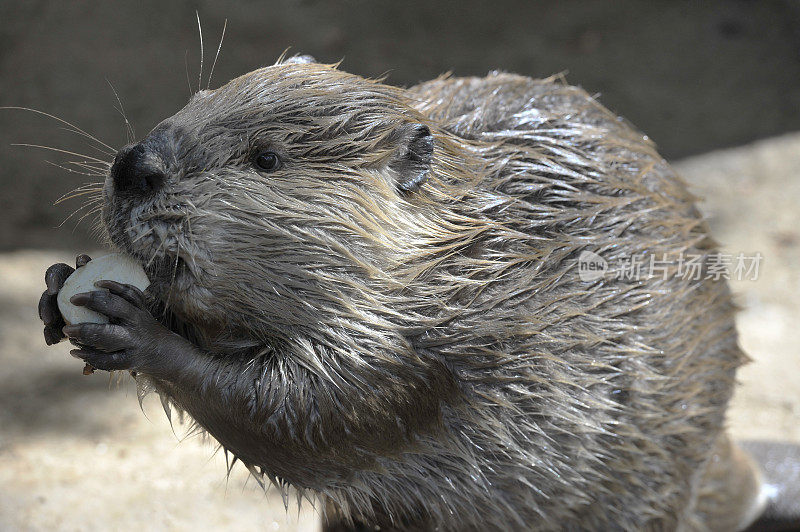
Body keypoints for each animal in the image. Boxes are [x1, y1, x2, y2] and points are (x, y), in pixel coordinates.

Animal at [36, 56, 792, 528]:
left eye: (267, 158)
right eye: (194, 102)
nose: (136, 167)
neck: (469, 249)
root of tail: (742, 474)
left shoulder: (453, 338)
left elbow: (306, 417)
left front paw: (131, 326)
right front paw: (57, 287)